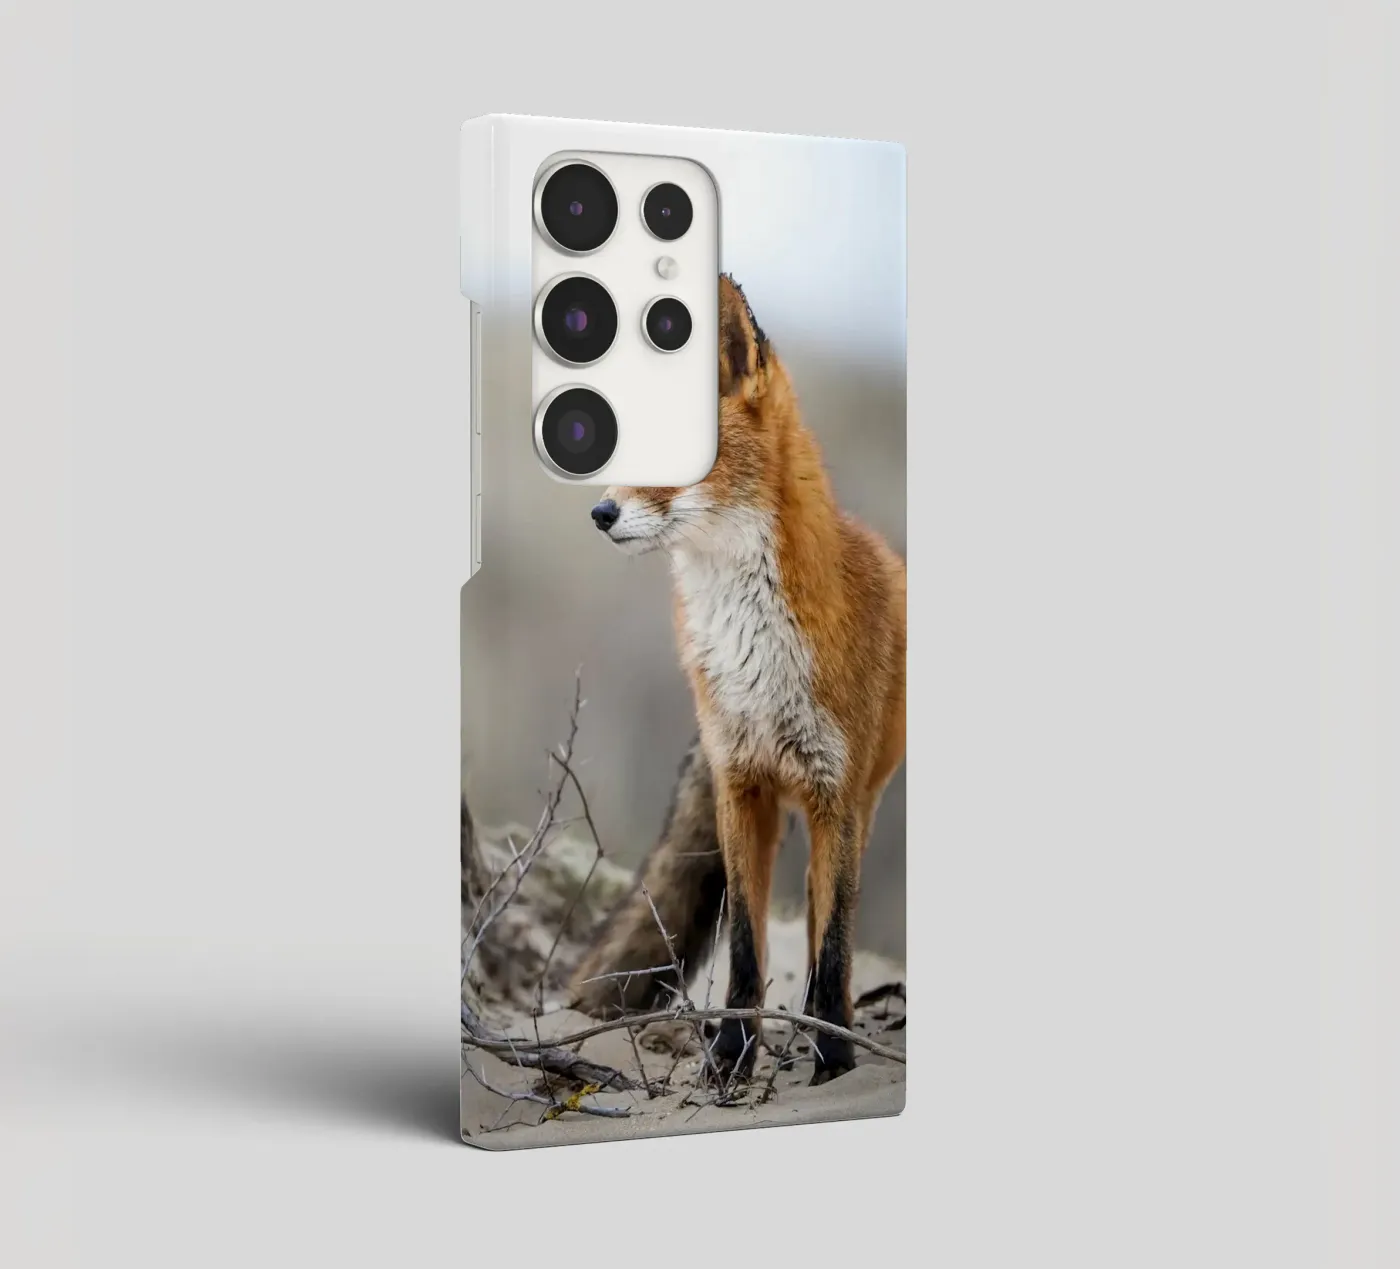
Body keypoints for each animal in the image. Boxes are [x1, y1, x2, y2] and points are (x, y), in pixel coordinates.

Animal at [586, 275, 907, 1084]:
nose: (598, 510)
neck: (754, 658)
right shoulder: (740, 784)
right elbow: (744, 951)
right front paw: (731, 1055)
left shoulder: (835, 792)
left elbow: (832, 946)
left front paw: (833, 1057)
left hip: (861, 805)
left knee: (829, 923)